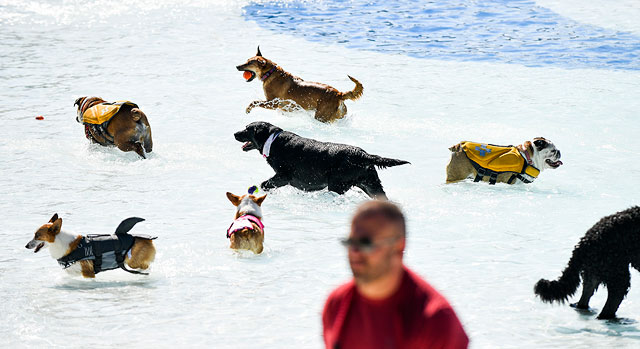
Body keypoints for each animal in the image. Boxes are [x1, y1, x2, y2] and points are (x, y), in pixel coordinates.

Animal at [235, 121, 410, 198]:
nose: (235, 133)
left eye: (247, 129)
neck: (273, 140)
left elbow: (264, 184)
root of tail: (363, 154)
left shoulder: (283, 176)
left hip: (337, 184)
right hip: (372, 185)